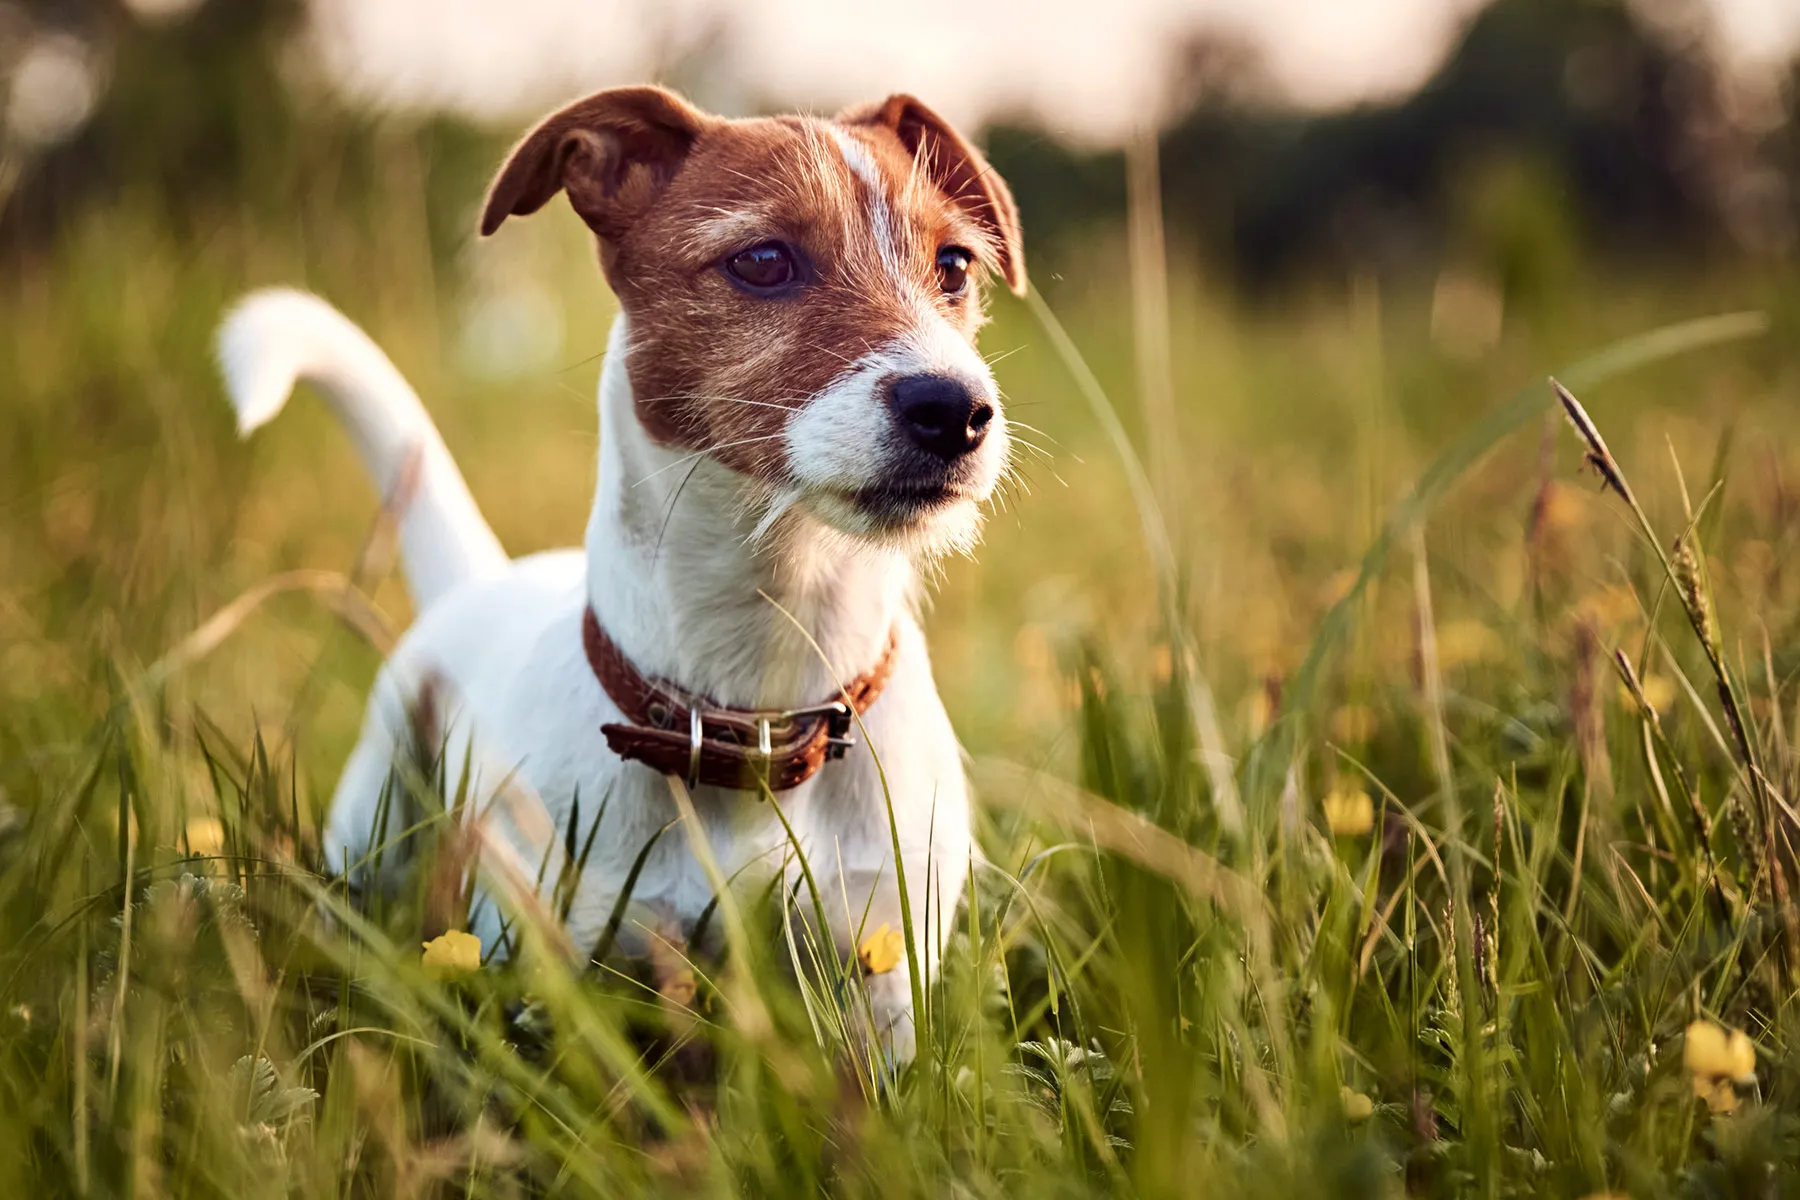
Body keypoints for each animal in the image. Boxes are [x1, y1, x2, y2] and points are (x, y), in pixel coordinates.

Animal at [214, 86, 1029, 1057]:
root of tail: (481, 579)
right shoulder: (559, 968)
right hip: (372, 825)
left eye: (955, 264)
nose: (957, 409)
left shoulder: (883, 966)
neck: (756, 710)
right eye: (763, 261)